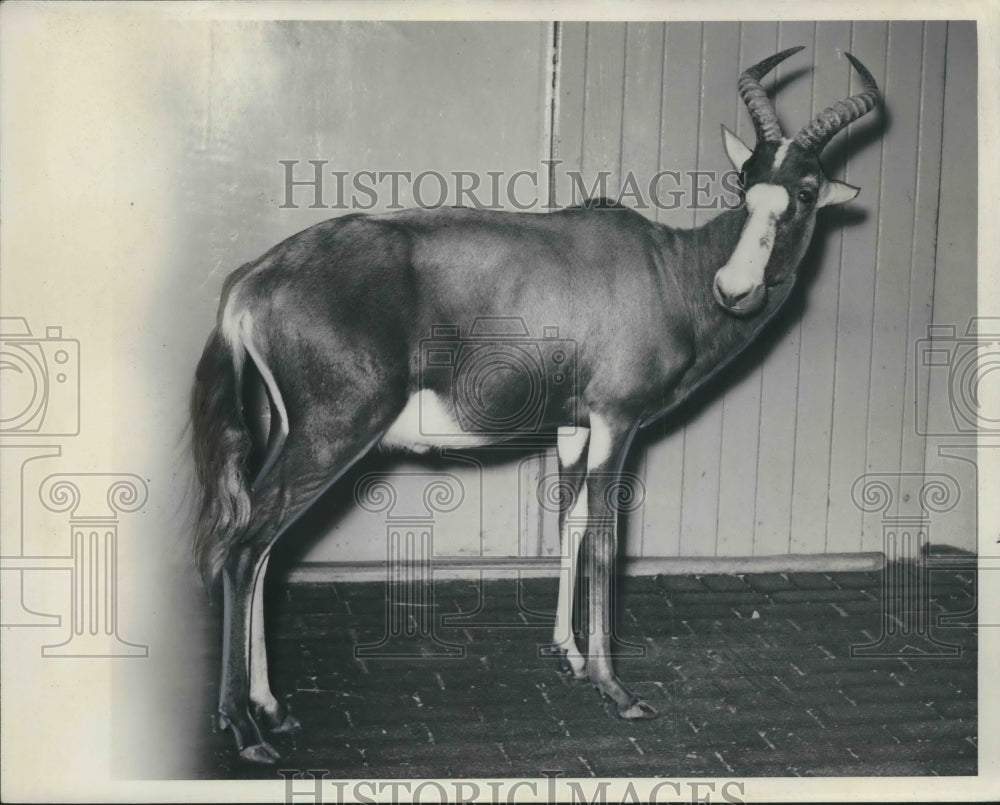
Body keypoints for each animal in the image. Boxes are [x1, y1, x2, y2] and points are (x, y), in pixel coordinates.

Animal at [191, 47, 880, 764]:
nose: (735, 288)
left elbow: (570, 521)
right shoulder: (617, 417)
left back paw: (273, 708)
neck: (664, 266)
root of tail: (251, 281)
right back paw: (245, 729)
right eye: (745, 183)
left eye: (803, 191)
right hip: (334, 431)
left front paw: (570, 657)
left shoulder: (575, 426)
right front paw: (617, 688)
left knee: (265, 546)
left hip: (290, 432)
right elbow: (605, 533)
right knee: (246, 542)